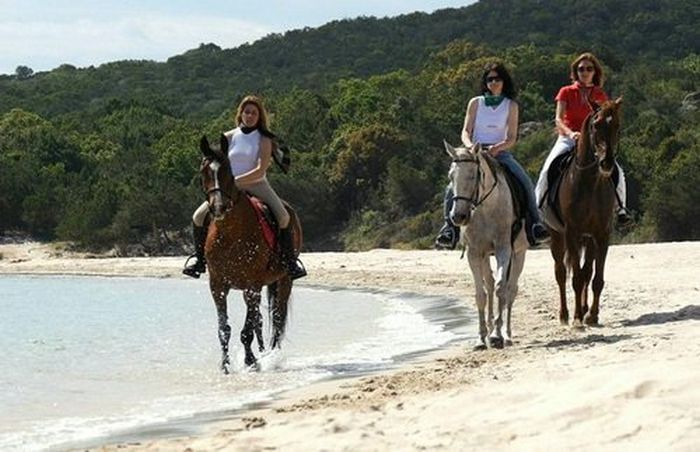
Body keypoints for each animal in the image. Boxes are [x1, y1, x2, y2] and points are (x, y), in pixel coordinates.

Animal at [200, 135, 304, 374]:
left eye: (229, 171)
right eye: (204, 172)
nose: (218, 207)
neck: (229, 234)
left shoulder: (252, 286)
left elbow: (246, 330)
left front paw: (251, 362)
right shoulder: (217, 286)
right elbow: (225, 329)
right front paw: (225, 365)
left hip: (284, 280)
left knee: (277, 317)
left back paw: (272, 356)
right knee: (260, 320)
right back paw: (264, 352)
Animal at [446, 141, 528, 350]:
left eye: (474, 175)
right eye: (451, 176)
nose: (459, 217)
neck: (485, 208)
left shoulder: (503, 250)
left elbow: (501, 289)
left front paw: (497, 335)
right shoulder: (474, 253)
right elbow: (481, 294)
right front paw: (482, 338)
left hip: (519, 253)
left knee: (511, 289)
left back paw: (506, 334)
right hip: (484, 256)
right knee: (489, 284)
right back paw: (491, 329)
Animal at [548, 97, 624, 326]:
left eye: (617, 126)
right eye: (596, 125)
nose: (607, 163)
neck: (589, 181)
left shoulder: (602, 234)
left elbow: (595, 278)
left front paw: (591, 315)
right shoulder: (571, 233)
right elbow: (576, 277)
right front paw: (577, 319)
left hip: (588, 238)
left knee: (586, 271)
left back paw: (582, 309)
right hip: (557, 236)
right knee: (561, 273)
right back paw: (565, 315)